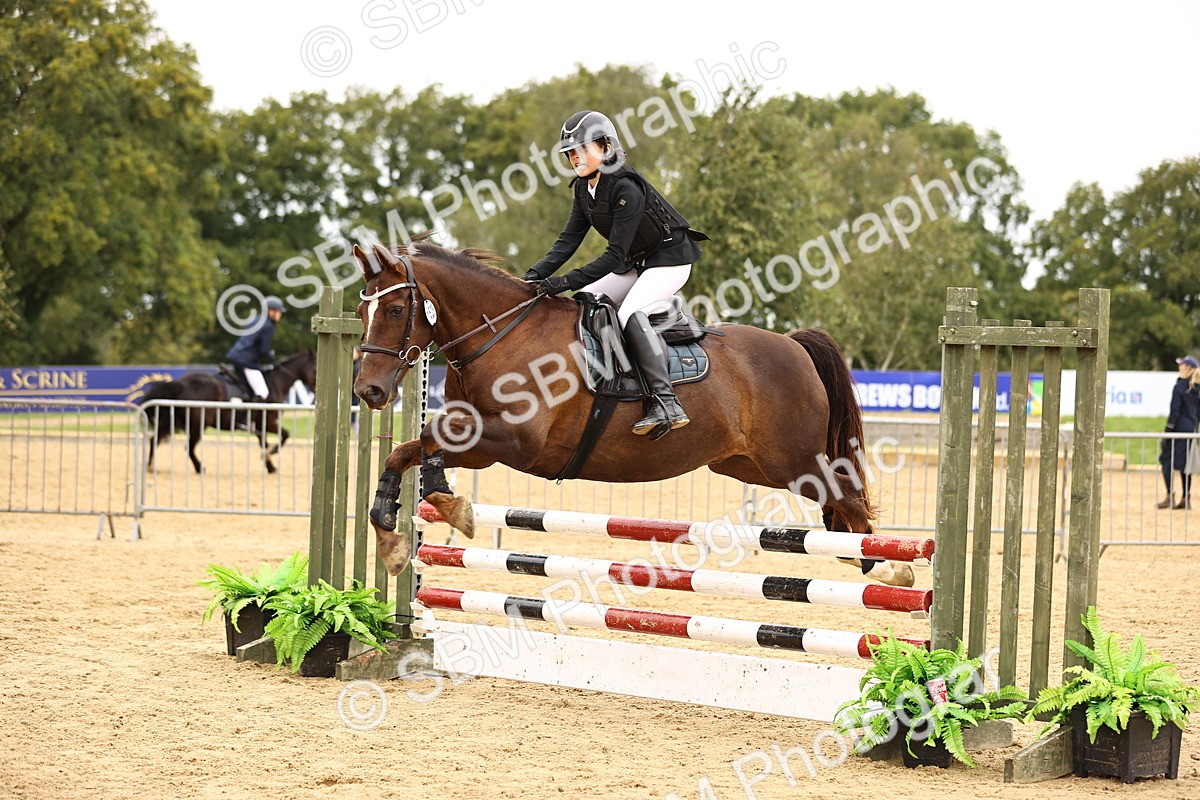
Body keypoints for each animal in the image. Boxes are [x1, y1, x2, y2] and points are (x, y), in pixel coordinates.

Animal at [140, 350, 317, 474]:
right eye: (316, 369)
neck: (276, 383)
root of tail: (181, 384)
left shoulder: (259, 426)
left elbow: (264, 442)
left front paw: (269, 465)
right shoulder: (268, 422)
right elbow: (284, 436)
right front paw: (271, 454)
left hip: (174, 421)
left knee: (155, 440)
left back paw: (150, 467)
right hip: (198, 425)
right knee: (188, 448)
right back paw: (199, 468)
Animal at [351, 241, 913, 588]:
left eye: (396, 310)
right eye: (361, 311)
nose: (369, 391)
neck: (502, 334)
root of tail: (794, 346)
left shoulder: (513, 443)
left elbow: (424, 439)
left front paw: (440, 512)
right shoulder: (479, 438)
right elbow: (414, 448)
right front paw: (398, 536)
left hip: (793, 461)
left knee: (850, 496)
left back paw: (891, 571)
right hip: (748, 465)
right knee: (839, 499)